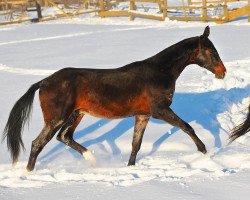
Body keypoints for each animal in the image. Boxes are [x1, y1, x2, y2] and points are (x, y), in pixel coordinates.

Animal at [1, 25, 227, 171]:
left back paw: (92, 161)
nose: (222, 72)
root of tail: (43, 82)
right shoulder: (160, 111)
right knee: (38, 143)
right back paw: (28, 173)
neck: (159, 72)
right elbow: (187, 126)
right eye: (210, 51)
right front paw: (204, 151)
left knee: (65, 136)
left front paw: (130, 167)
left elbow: (136, 144)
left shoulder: (143, 115)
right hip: (57, 118)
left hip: (76, 114)